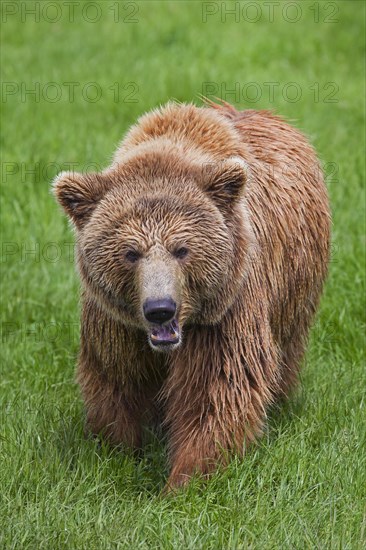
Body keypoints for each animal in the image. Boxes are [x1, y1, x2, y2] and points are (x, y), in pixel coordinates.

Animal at [53, 100, 330, 492]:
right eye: (130, 252)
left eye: (181, 249)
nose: (159, 309)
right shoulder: (115, 321)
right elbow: (118, 378)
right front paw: (118, 452)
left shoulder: (224, 310)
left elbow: (215, 389)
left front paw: (184, 480)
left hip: (295, 282)